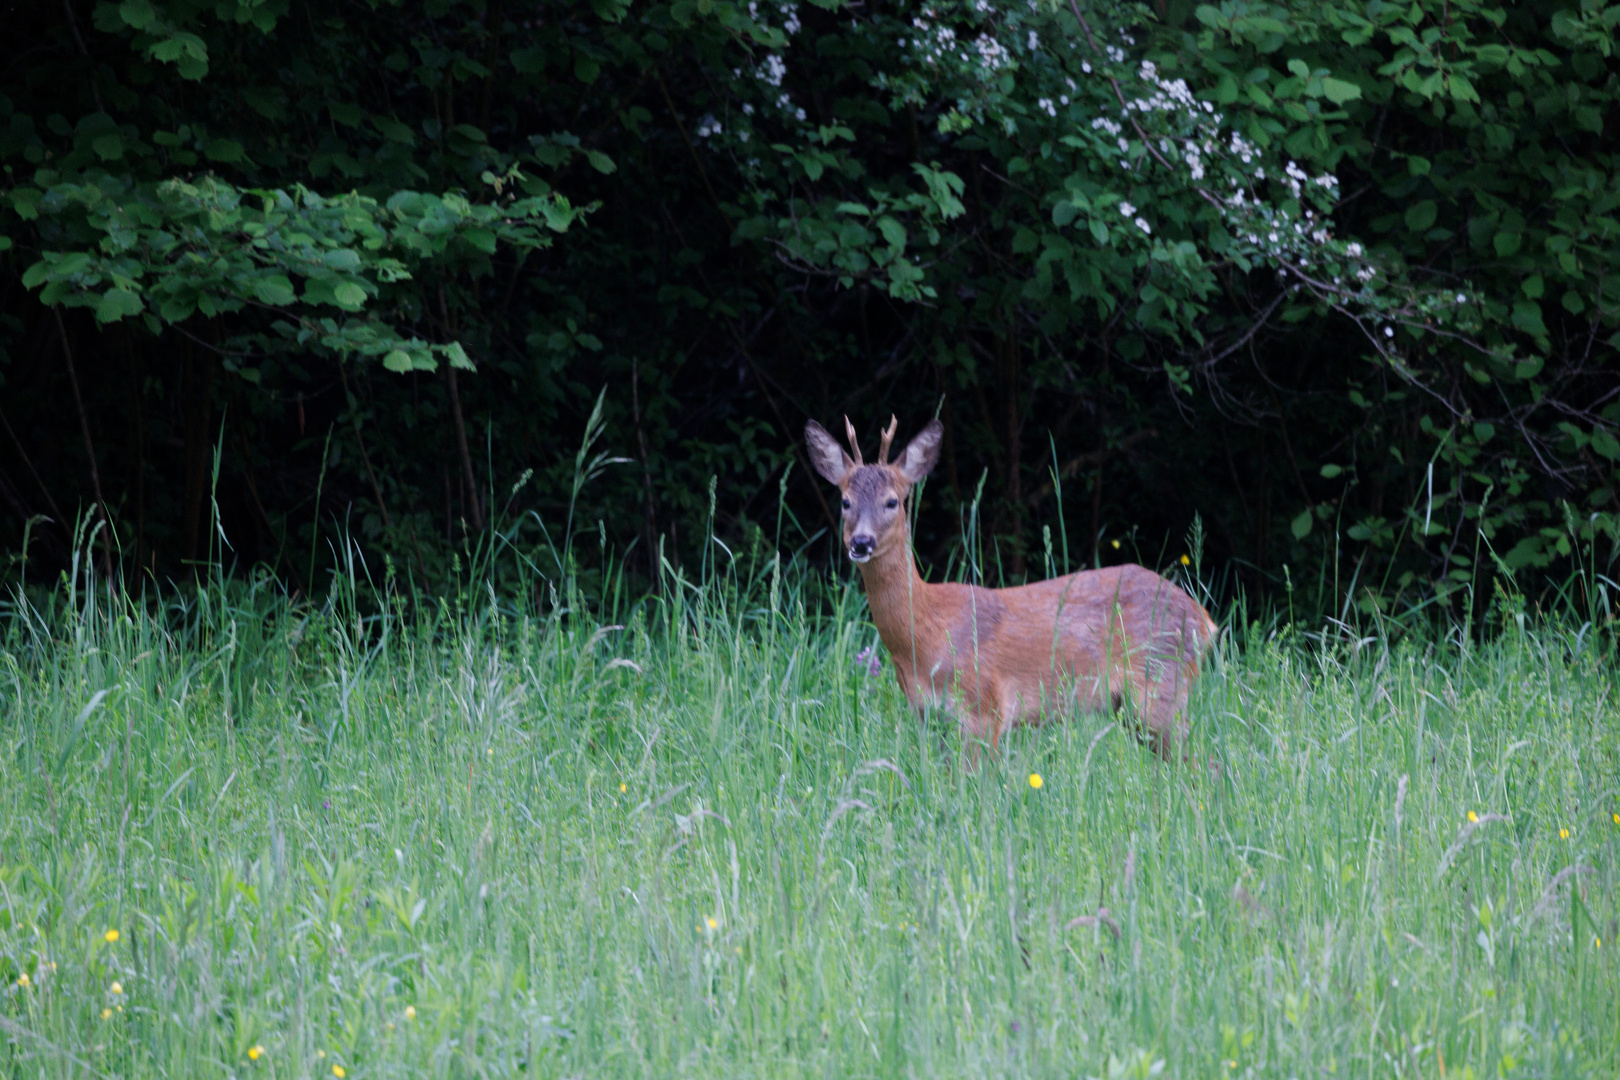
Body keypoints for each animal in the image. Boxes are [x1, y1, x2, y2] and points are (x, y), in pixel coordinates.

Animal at [810, 414, 1218, 761]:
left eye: (892, 501)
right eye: (845, 501)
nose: (861, 542)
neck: (923, 635)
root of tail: (1204, 619)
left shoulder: (985, 707)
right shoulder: (930, 717)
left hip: (1160, 686)